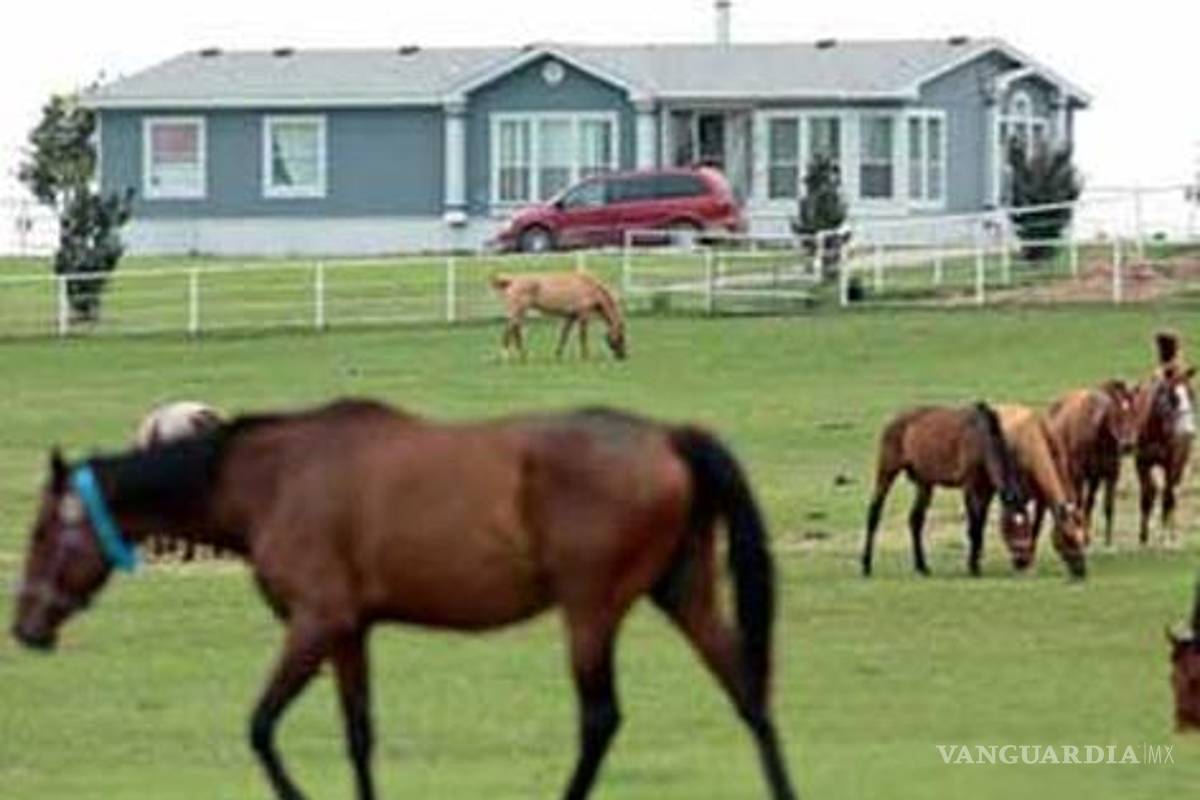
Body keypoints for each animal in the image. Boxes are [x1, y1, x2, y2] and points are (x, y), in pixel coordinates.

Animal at [490, 271, 627, 361]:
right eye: (621, 337)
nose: (623, 356)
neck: (590, 287)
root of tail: (512, 281)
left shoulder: (571, 316)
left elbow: (564, 336)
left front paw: (558, 355)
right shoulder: (583, 316)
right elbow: (583, 336)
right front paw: (585, 356)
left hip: (519, 314)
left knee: (515, 331)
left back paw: (523, 356)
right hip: (517, 312)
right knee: (509, 331)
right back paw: (507, 357)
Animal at [862, 402, 1034, 578]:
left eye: (1028, 526)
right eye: (1012, 527)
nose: (1023, 561)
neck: (982, 439)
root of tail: (892, 421)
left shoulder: (987, 491)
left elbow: (981, 524)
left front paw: (976, 562)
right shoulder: (969, 488)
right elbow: (973, 527)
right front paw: (973, 566)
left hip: (925, 483)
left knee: (915, 520)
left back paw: (922, 566)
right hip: (887, 472)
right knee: (874, 512)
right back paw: (866, 565)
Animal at [995, 404, 1088, 578]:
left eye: (1085, 539)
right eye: (1069, 538)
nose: (1081, 571)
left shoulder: (1042, 499)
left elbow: (1036, 526)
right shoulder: (1018, 495)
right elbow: (1017, 524)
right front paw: (1022, 562)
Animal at [1043, 381, 1138, 546]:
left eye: (1135, 413)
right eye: (1117, 414)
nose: (1128, 445)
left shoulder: (1110, 474)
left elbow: (1106, 505)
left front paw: (1108, 541)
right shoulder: (1079, 474)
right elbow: (1079, 503)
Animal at [1133, 332, 1196, 546]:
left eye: (1192, 395)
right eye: (1173, 397)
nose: (1188, 431)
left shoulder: (1172, 462)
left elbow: (1168, 496)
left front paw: (1166, 537)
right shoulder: (1142, 462)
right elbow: (1147, 495)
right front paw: (1143, 536)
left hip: (1180, 463)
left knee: (1172, 493)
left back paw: (1171, 532)